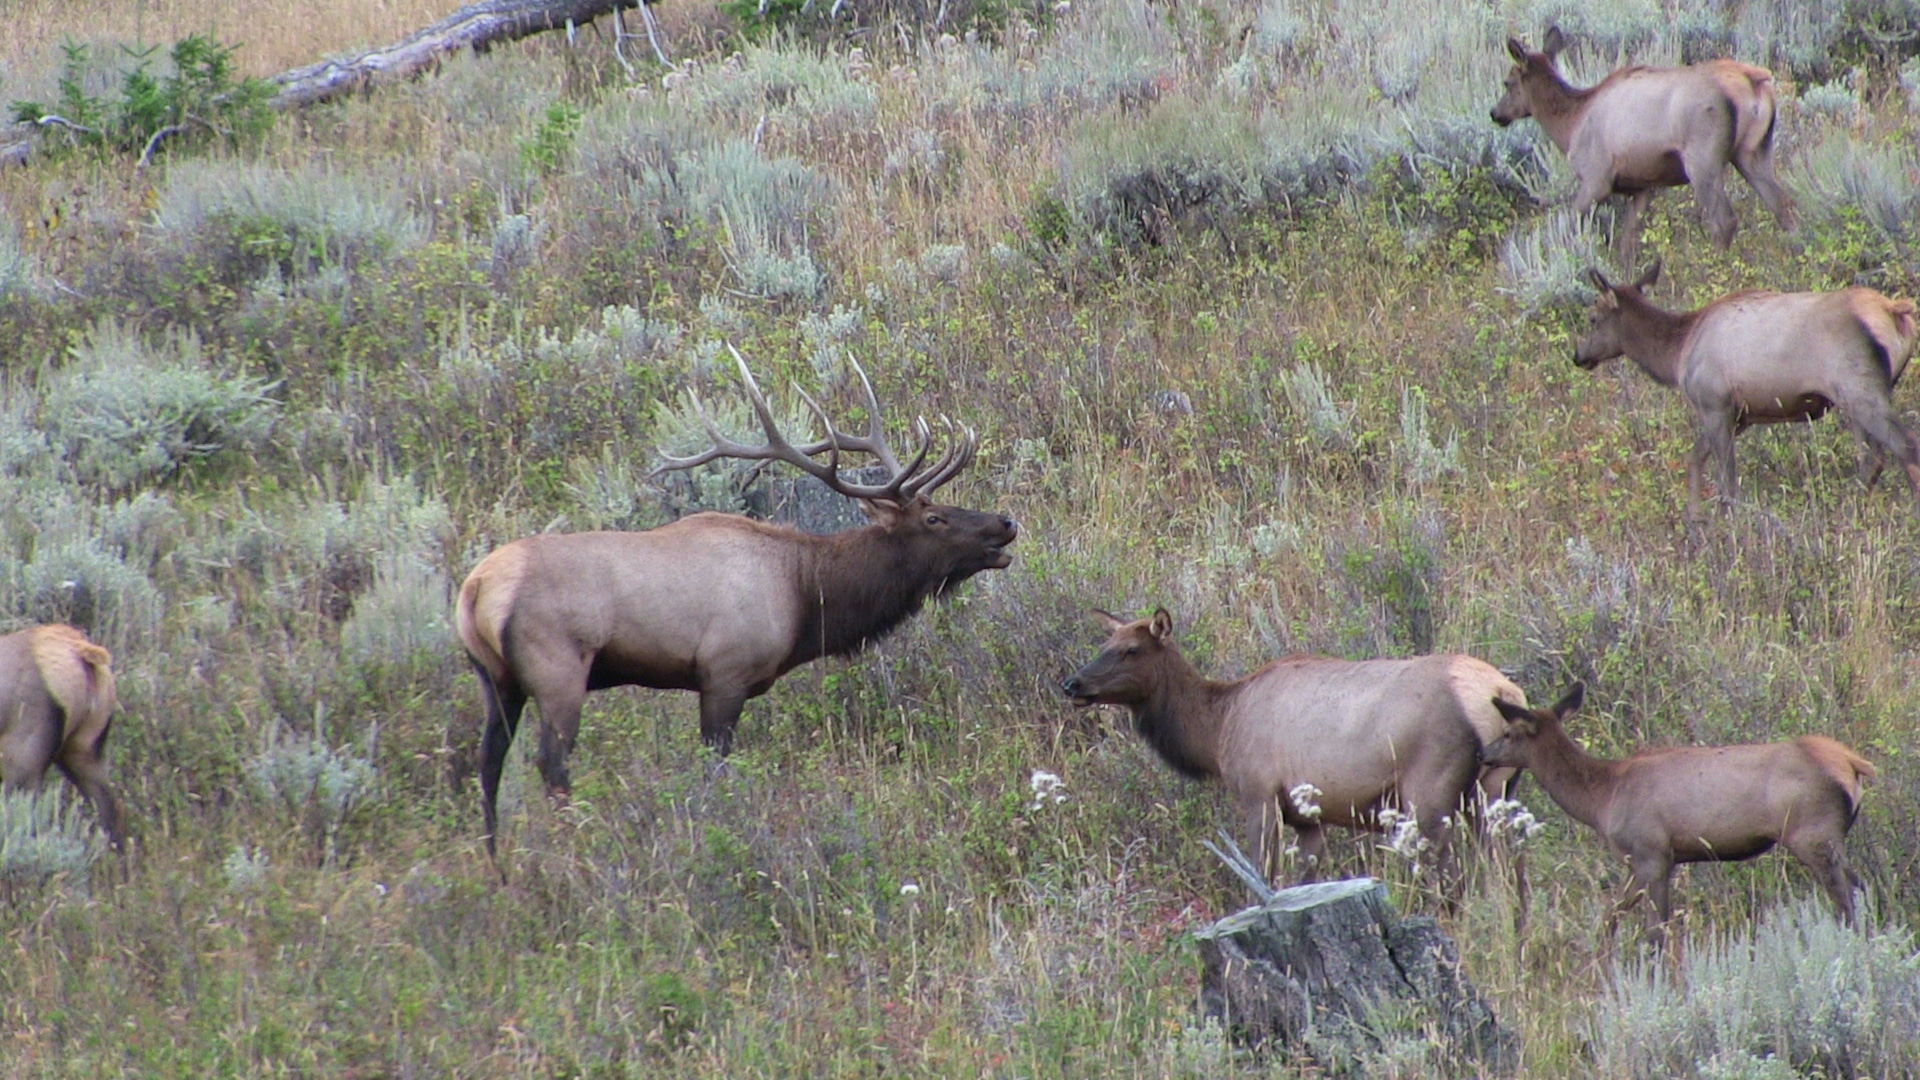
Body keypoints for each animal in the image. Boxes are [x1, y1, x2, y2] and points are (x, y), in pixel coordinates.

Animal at [458, 347, 1017, 858]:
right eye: (934, 519)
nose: (1006, 522)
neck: (802, 597)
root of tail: (474, 589)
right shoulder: (724, 672)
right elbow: (715, 766)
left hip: (498, 680)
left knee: (485, 764)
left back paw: (495, 863)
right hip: (558, 672)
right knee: (550, 763)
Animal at [1062, 608, 1526, 894]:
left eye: (1131, 649)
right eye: (1104, 646)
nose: (1072, 683)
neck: (1216, 731)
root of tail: (1500, 692)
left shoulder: (1259, 794)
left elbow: (1263, 878)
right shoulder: (1307, 819)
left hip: (1430, 792)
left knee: (1452, 881)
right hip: (1497, 788)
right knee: (1512, 879)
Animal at [1486, 684, 1874, 947]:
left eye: (1507, 733)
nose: (1485, 753)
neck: (1602, 798)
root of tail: (1854, 765)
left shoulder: (1652, 852)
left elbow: (1658, 930)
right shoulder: (1641, 861)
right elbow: (1610, 917)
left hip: (1813, 834)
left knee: (1848, 898)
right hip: (1827, 837)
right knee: (1862, 888)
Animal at [1490, 28, 1794, 267]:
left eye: (1507, 82)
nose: (1495, 113)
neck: (1570, 125)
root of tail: (1755, 80)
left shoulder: (1596, 177)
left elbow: (1573, 225)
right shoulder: (1639, 187)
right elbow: (1627, 244)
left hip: (1702, 158)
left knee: (1724, 219)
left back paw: (1720, 266)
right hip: (1753, 151)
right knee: (1781, 202)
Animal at [1575, 260, 1920, 518]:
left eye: (1592, 318)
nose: (1578, 356)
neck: (1677, 354)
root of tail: (1895, 311)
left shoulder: (1714, 403)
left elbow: (1727, 480)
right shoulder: (1742, 415)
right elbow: (1696, 457)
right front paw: (1695, 521)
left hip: (1860, 389)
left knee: (1904, 446)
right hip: (1864, 394)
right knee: (1873, 459)